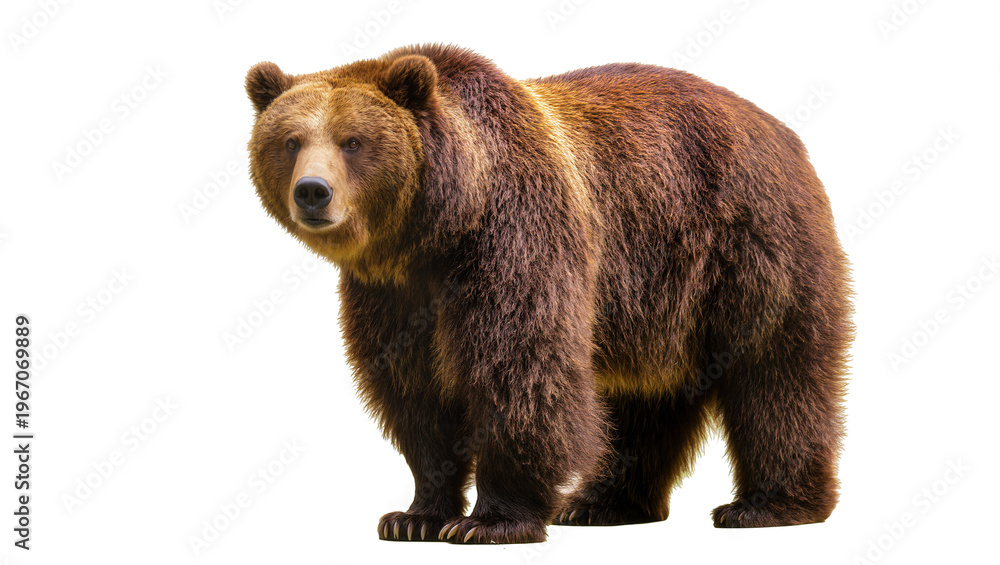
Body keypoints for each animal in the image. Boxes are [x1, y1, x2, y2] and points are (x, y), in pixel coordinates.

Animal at [245, 44, 851, 544]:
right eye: (290, 141)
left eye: (353, 141)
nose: (313, 192)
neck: (438, 227)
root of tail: (782, 132)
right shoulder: (391, 293)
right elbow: (414, 392)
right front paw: (413, 516)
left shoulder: (516, 234)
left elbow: (520, 370)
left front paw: (490, 521)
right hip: (654, 297)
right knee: (641, 395)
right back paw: (601, 503)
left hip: (747, 247)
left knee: (776, 373)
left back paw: (766, 506)